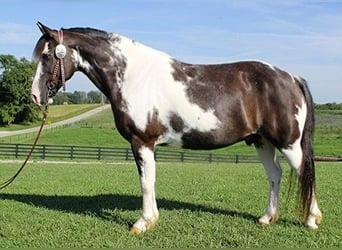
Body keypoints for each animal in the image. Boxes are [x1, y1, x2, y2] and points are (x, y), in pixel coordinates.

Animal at [30, 22, 322, 234]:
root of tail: (291, 77)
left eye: (46, 55)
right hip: (262, 141)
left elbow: (146, 181)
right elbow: (150, 180)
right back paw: (267, 217)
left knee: (304, 173)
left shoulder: (141, 142)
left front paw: (143, 223)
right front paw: (150, 219)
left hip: (289, 144)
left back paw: (311, 220)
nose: (35, 96)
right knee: (275, 174)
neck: (134, 77)